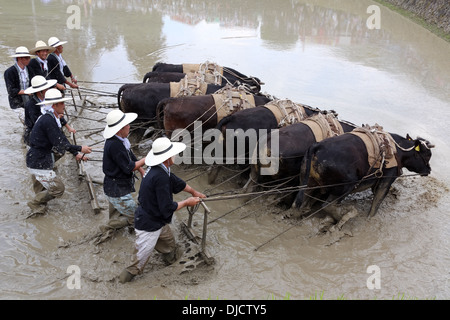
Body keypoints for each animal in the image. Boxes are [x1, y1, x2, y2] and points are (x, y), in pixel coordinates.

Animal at [294, 131, 434, 224]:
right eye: (427, 155)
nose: (429, 170)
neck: (397, 151)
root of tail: (317, 146)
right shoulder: (386, 181)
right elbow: (376, 203)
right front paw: (370, 219)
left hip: (308, 183)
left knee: (300, 203)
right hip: (345, 187)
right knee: (328, 206)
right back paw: (345, 217)